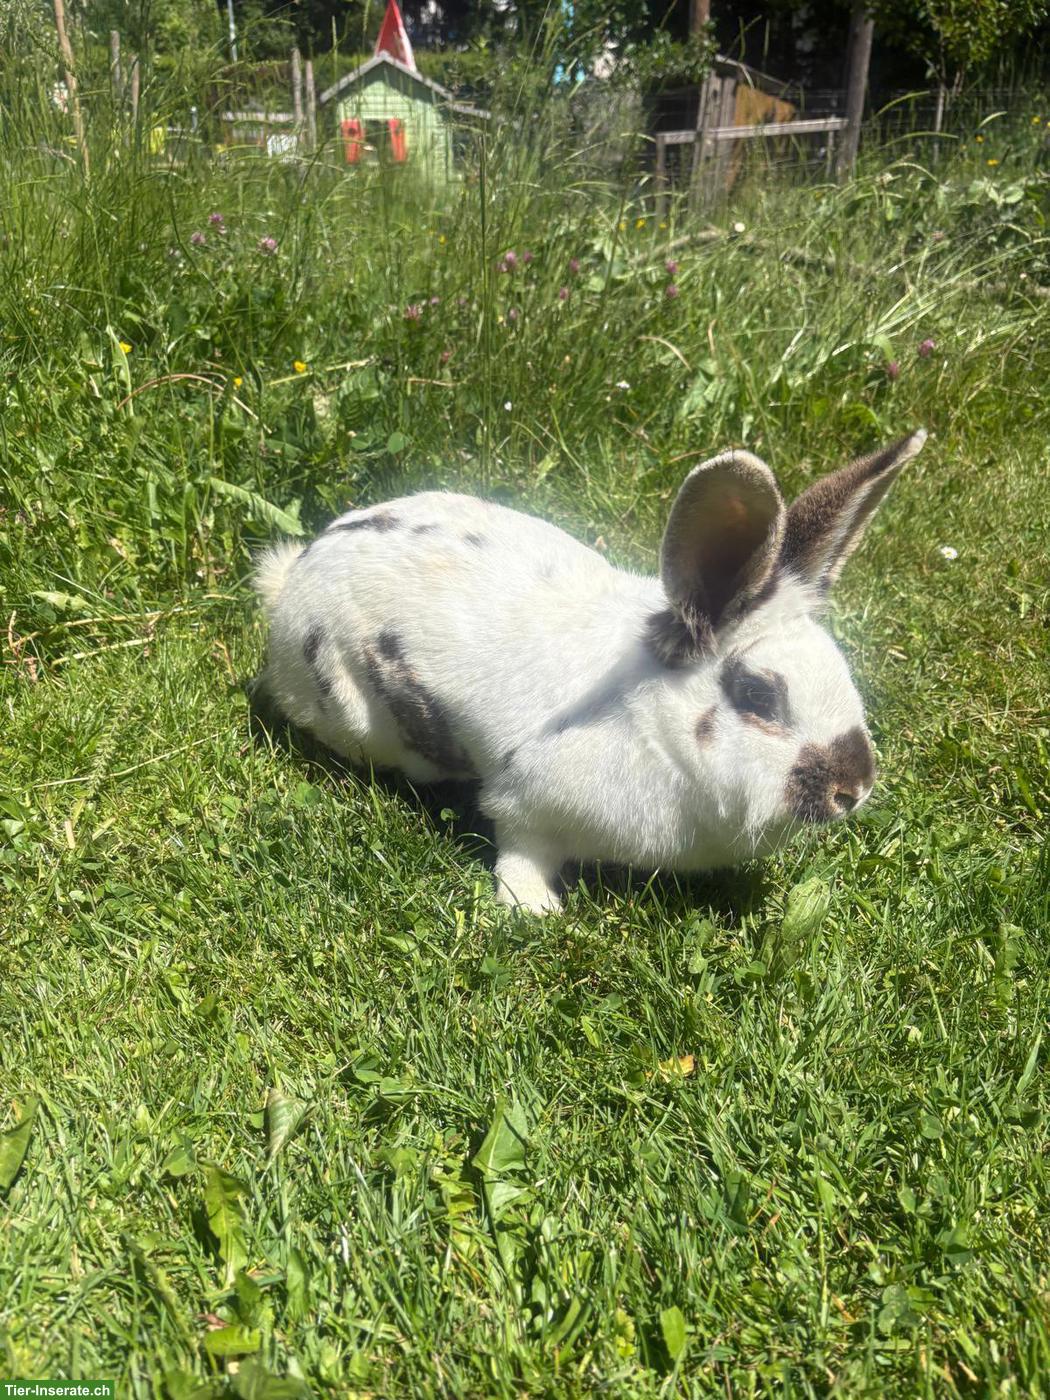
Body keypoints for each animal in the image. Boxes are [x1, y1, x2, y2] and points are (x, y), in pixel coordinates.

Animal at [254, 429, 926, 913]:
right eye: (757, 694)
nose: (853, 790)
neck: (652, 724)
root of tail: (295, 575)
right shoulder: (524, 806)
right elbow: (520, 851)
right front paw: (533, 911)